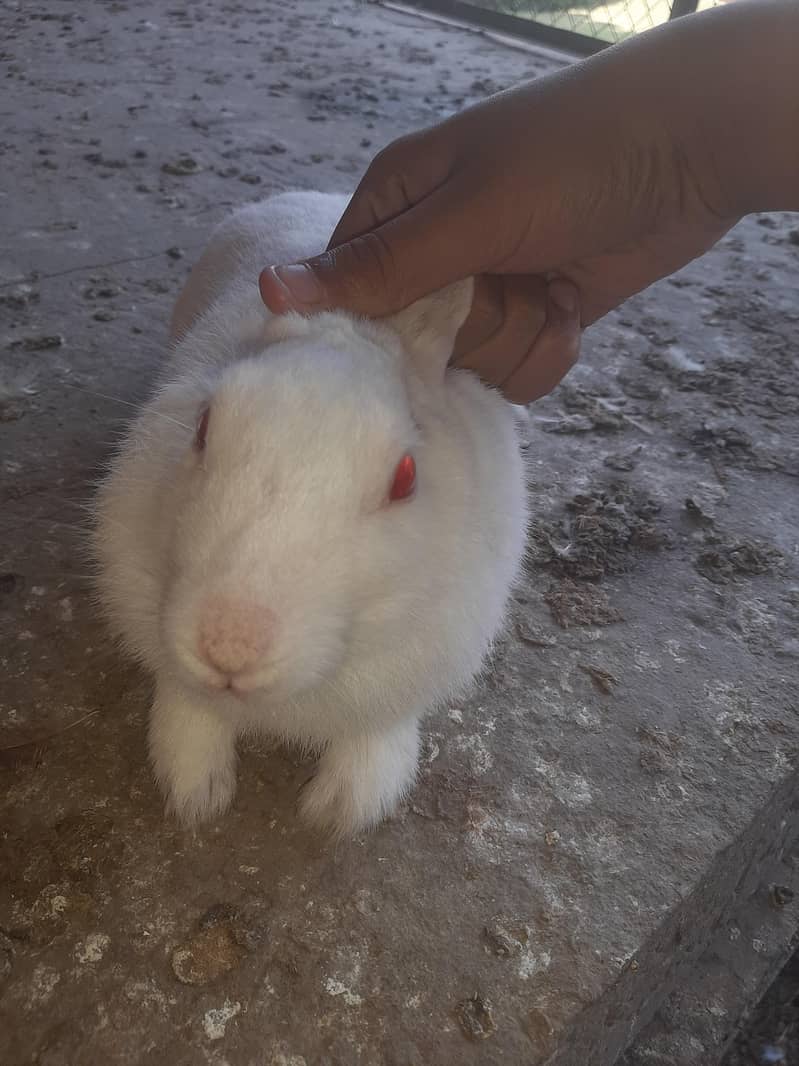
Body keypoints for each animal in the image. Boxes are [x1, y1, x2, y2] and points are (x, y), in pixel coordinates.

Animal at [92, 190, 529, 837]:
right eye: (202, 427)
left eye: (406, 478)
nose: (230, 647)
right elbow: (189, 711)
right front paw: (196, 794)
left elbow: (378, 733)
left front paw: (340, 810)